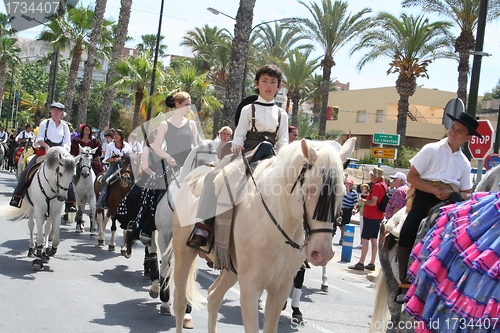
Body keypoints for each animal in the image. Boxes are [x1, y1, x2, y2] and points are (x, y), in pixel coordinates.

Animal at [170, 139, 358, 330]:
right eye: (310, 190)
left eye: (343, 192)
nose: (323, 253)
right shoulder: (250, 288)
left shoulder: (281, 288)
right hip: (184, 254)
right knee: (180, 302)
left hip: (231, 269)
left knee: (214, 295)